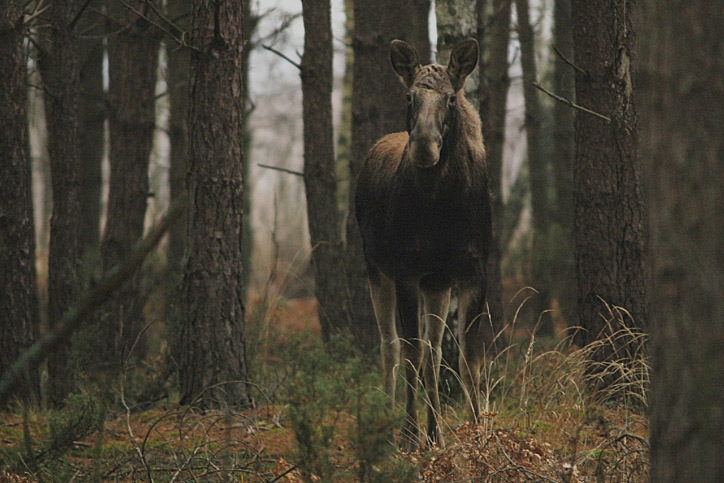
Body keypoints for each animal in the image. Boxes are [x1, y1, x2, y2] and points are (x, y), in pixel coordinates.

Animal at [354, 37, 494, 450]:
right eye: (408, 96)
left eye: (450, 98)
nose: (424, 147)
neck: (442, 211)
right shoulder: (406, 273)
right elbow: (411, 353)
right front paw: (408, 434)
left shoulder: (472, 273)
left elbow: (467, 360)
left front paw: (477, 432)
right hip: (376, 269)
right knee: (390, 346)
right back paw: (389, 423)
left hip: (437, 284)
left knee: (434, 353)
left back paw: (435, 433)